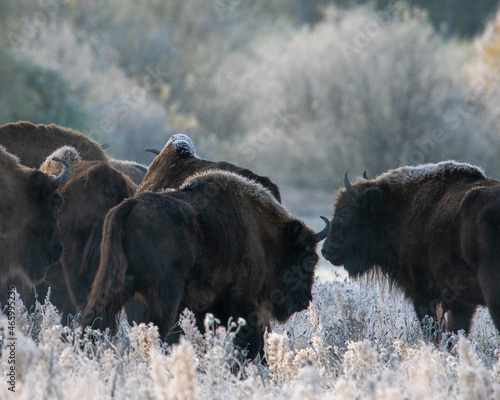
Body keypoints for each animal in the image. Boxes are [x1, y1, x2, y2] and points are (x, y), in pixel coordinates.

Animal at [84, 169, 330, 360]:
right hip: (164, 296)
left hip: (114, 286)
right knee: (159, 329)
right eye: (310, 260)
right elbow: (252, 339)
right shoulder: (243, 299)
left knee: (95, 319)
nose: (305, 300)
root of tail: (128, 207)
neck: (264, 235)